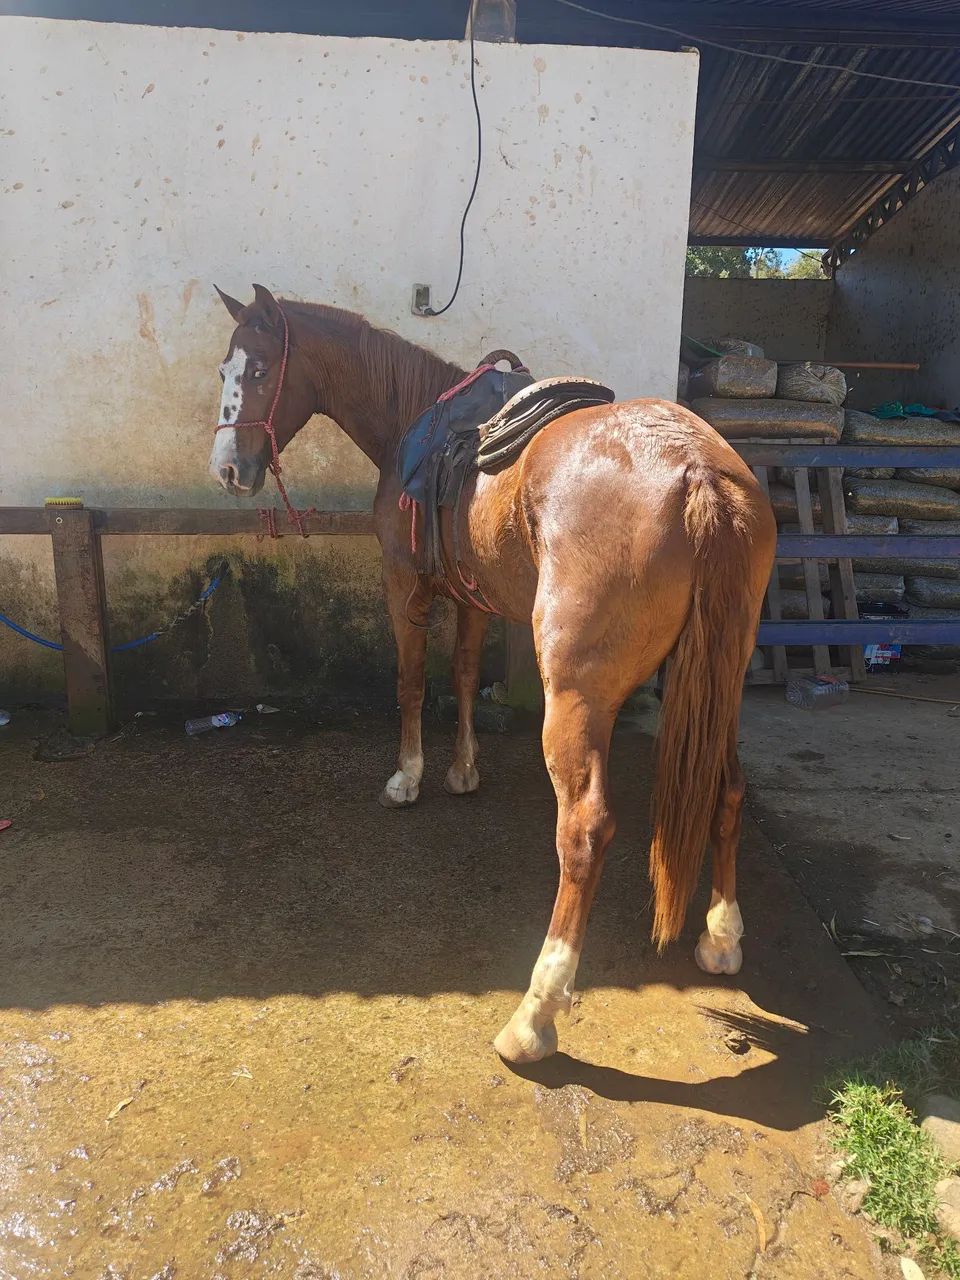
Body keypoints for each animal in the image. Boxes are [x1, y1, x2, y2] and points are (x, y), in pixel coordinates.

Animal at [207, 283, 777, 1065]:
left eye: (259, 368)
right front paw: (463, 769)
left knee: (584, 832)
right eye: (225, 368)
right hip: (719, 681)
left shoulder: (405, 587)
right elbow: (466, 673)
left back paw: (535, 1014)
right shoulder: (471, 598)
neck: (416, 420)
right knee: (729, 789)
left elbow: (413, 683)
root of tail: (697, 471)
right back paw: (722, 936)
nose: (228, 468)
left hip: (577, 698)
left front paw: (409, 776)